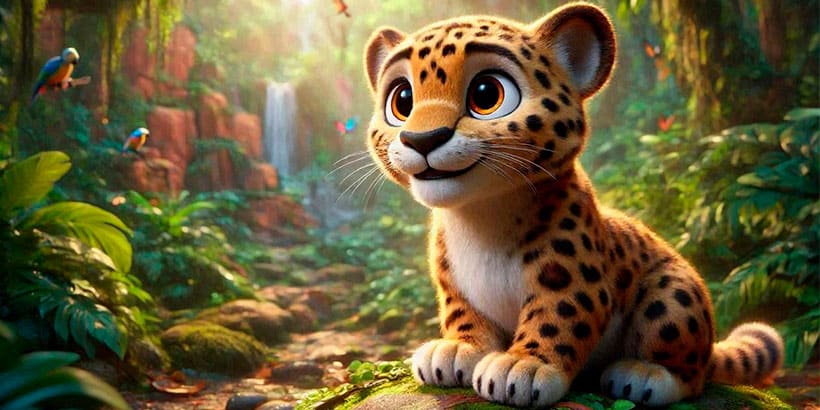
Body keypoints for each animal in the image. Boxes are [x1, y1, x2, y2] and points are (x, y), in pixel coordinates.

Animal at [361, 2, 784, 407]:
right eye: (402, 100)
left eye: (486, 94)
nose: (423, 139)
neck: (479, 216)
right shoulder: (455, 287)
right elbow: (463, 316)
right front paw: (454, 351)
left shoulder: (572, 279)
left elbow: (557, 318)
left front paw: (523, 367)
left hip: (674, 293)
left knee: (692, 374)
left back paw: (644, 375)